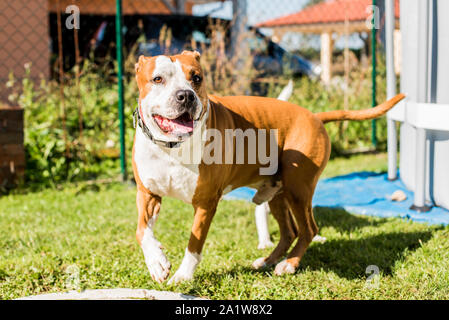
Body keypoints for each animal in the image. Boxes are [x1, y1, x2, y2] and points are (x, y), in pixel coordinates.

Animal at [131, 50, 404, 282]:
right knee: (289, 232)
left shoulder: (205, 204)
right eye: (157, 79)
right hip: (277, 194)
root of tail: (315, 116)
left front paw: (183, 276)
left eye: (196, 78)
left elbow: (194, 244)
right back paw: (268, 261)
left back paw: (289, 264)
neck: (171, 148)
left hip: (298, 189)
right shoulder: (147, 195)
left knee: (308, 229)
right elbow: (142, 231)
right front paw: (157, 262)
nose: (186, 95)